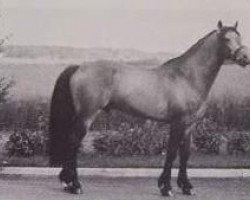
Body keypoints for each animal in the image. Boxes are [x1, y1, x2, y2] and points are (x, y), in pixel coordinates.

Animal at [48, 21, 250, 196]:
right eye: (227, 39)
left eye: (239, 37)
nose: (245, 58)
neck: (186, 77)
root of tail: (79, 67)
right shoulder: (178, 122)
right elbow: (172, 152)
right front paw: (166, 187)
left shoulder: (190, 125)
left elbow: (185, 154)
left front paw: (186, 187)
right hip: (87, 116)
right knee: (73, 143)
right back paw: (75, 185)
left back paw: (67, 182)